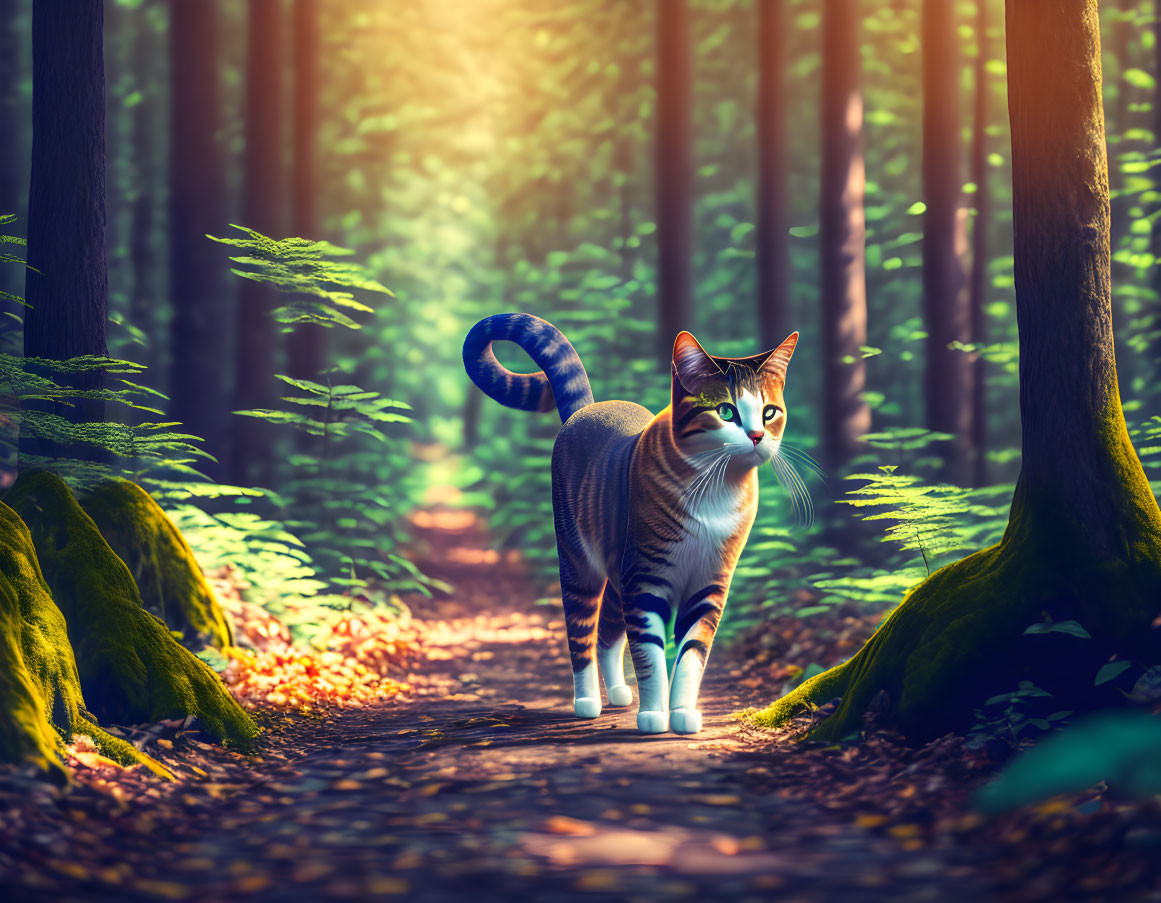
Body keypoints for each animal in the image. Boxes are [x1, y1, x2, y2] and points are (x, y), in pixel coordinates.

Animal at [462, 313, 798, 728]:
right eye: (725, 411)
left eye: (769, 412)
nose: (756, 435)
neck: (715, 489)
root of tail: (587, 409)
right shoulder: (645, 580)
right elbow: (649, 653)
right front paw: (654, 714)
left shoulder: (709, 584)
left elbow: (692, 654)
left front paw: (682, 714)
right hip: (579, 563)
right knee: (582, 633)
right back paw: (587, 700)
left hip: (618, 568)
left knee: (608, 632)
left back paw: (620, 692)